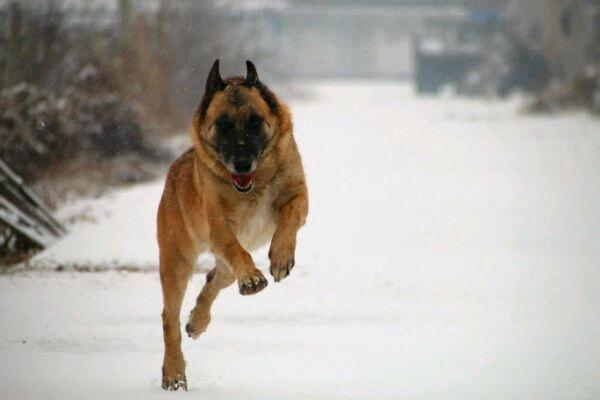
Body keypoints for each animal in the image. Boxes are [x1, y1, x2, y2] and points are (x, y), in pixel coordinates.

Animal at [157, 60, 308, 390]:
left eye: (255, 121)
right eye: (223, 124)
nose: (241, 164)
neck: (254, 184)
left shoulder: (298, 196)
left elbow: (289, 221)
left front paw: (280, 258)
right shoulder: (219, 227)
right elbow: (238, 251)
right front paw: (252, 277)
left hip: (221, 271)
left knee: (212, 280)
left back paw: (197, 320)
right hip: (176, 261)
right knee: (169, 317)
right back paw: (173, 371)